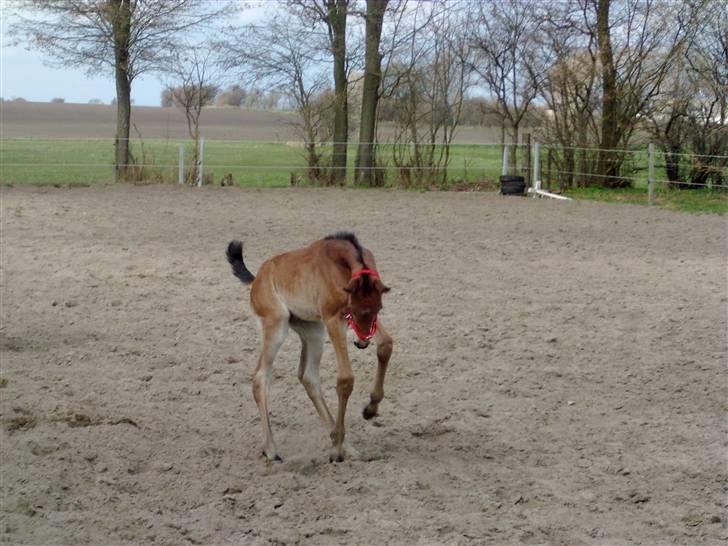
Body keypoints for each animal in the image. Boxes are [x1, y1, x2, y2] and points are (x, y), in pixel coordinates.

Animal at [226, 232, 392, 462]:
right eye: (353, 309)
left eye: (378, 308)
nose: (362, 342)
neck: (342, 262)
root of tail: (257, 279)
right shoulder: (333, 318)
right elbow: (345, 379)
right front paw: (335, 450)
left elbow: (386, 345)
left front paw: (370, 410)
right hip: (276, 325)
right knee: (260, 377)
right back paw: (272, 450)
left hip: (312, 331)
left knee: (308, 377)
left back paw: (346, 446)